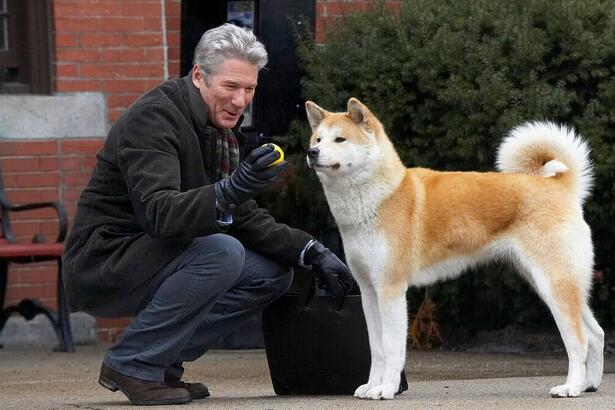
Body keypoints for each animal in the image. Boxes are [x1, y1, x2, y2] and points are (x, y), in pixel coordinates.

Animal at [306, 97, 604, 398]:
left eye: (340, 139)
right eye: (318, 139)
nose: (311, 152)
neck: (382, 196)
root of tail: (560, 187)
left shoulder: (391, 289)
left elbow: (391, 349)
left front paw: (386, 389)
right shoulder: (369, 291)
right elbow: (376, 349)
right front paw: (371, 386)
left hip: (553, 284)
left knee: (579, 340)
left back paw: (571, 387)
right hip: (554, 283)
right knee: (596, 334)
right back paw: (588, 384)